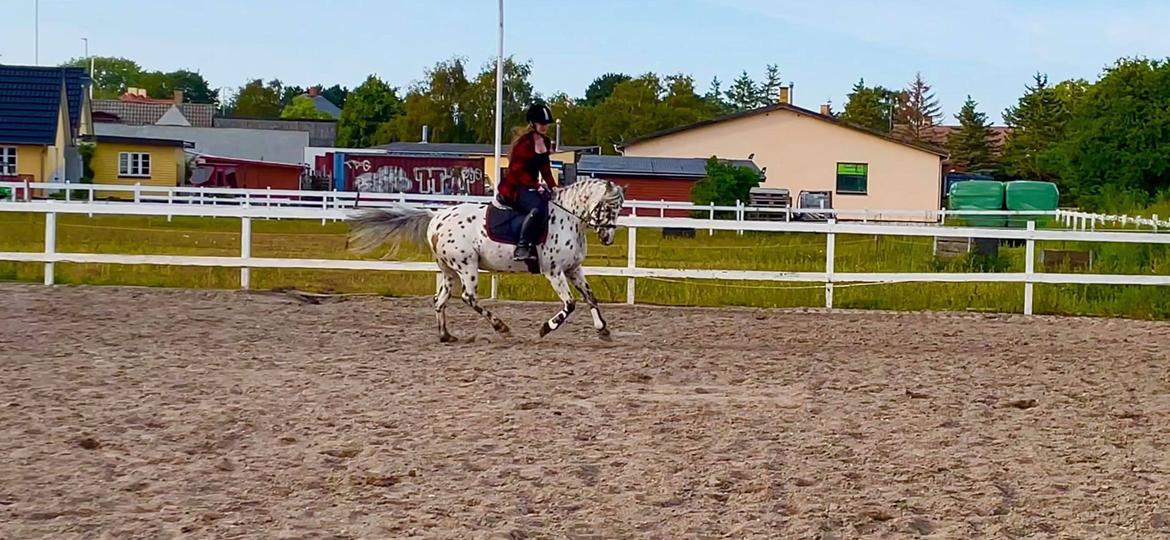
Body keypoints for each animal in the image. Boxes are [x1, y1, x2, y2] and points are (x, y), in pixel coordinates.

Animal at [343, 178, 627, 343]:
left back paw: (446, 336)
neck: (568, 219)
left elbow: (591, 297)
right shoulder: (554, 272)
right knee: (468, 297)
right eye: (608, 207)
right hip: (466, 265)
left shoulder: (573, 269)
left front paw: (603, 330)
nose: (608, 237)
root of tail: (436, 218)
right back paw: (501, 327)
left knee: (440, 300)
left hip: (448, 271)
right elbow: (570, 304)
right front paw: (546, 328)